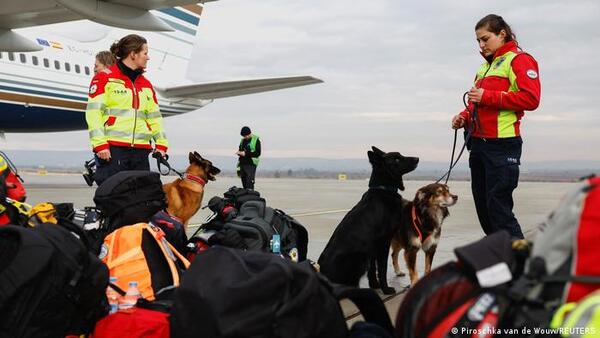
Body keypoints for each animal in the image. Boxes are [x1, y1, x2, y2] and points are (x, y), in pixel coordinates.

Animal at [318, 147, 418, 294]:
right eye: (396, 159)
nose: (417, 159)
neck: (383, 188)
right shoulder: (383, 241)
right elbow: (381, 268)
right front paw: (385, 288)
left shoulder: (373, 246)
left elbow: (372, 269)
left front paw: (375, 285)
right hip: (358, 258)